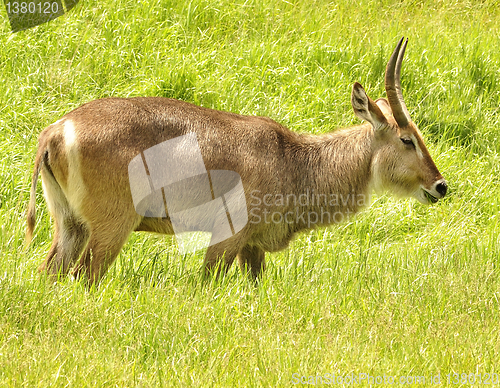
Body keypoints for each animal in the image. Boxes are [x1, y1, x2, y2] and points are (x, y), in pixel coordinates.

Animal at [26, 38, 446, 284]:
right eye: (407, 139)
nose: (441, 185)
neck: (293, 160)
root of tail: (56, 130)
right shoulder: (227, 237)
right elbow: (207, 284)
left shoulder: (253, 247)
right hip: (111, 227)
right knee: (84, 276)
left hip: (71, 225)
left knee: (51, 272)